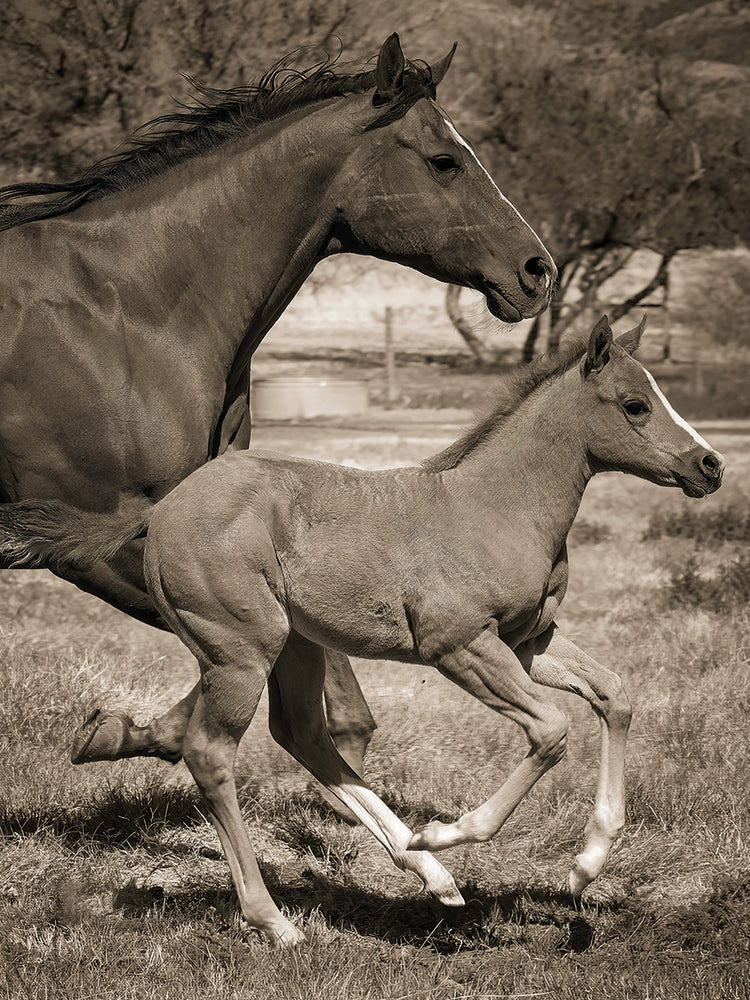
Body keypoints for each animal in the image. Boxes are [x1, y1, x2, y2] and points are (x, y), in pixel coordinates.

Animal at [0, 34, 555, 797]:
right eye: (445, 160)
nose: (538, 270)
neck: (125, 313)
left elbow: (324, 686)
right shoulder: (97, 537)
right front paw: (121, 733)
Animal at [0, 315, 724, 945]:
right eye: (635, 404)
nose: (710, 465)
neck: (499, 506)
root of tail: (163, 509)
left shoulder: (528, 643)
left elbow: (615, 694)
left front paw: (586, 863)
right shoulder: (460, 646)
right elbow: (550, 730)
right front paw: (450, 832)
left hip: (295, 645)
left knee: (302, 735)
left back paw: (429, 873)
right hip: (240, 653)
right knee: (211, 755)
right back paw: (280, 919)